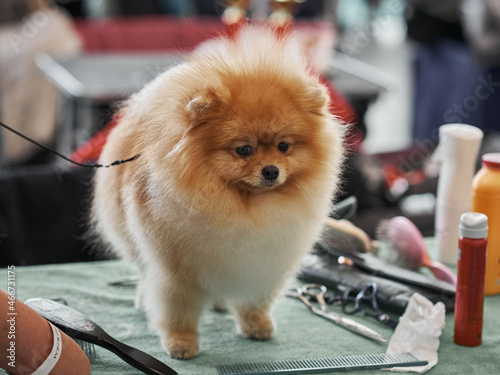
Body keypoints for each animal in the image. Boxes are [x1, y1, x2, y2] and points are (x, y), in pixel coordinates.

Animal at [92, 25, 344, 360]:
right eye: (244, 150)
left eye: (283, 146)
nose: (271, 171)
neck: (243, 207)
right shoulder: (177, 272)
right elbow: (178, 309)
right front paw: (181, 343)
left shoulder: (265, 263)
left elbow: (255, 301)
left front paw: (256, 325)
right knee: (145, 274)